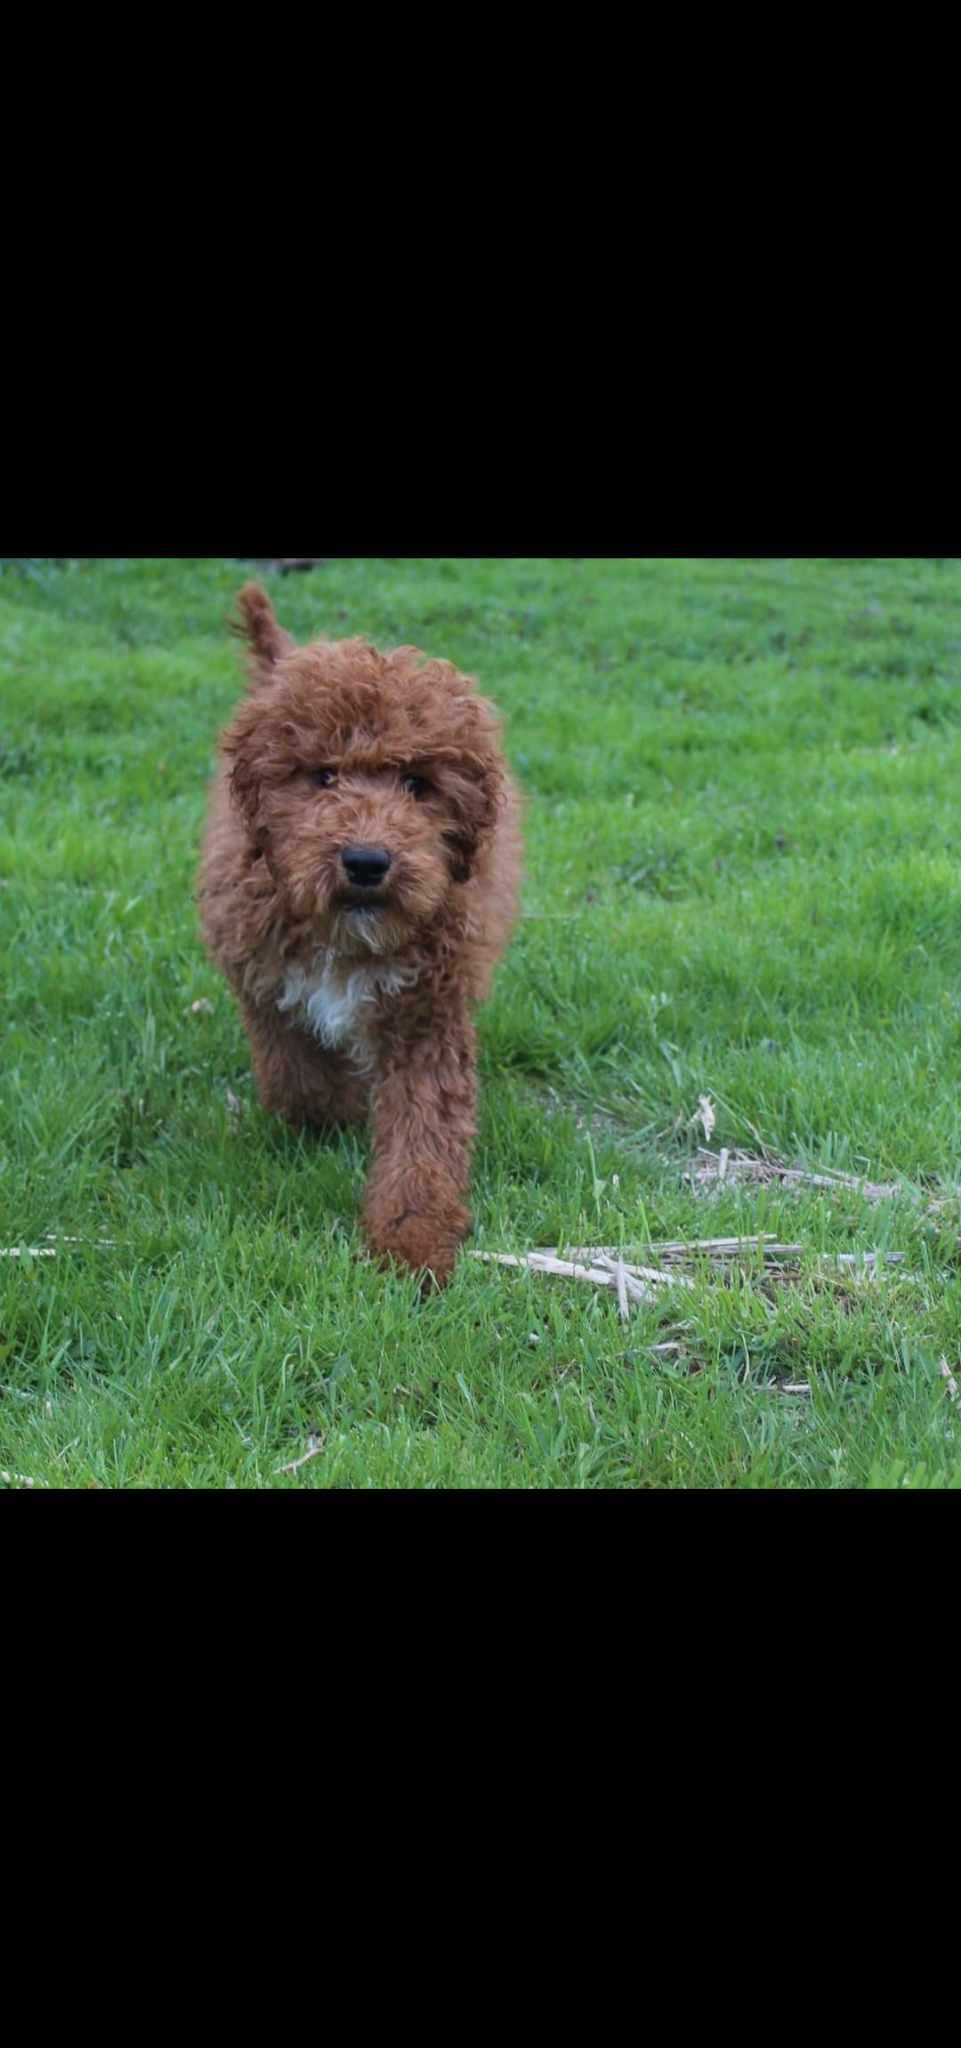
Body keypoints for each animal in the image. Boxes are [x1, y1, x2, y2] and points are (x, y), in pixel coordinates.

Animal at [198, 584, 522, 1287]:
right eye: (323, 776)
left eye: (418, 784)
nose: (368, 861)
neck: (345, 933)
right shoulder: (261, 975)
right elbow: (300, 1080)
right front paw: (338, 1106)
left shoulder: (428, 1011)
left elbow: (424, 1135)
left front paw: (412, 1244)